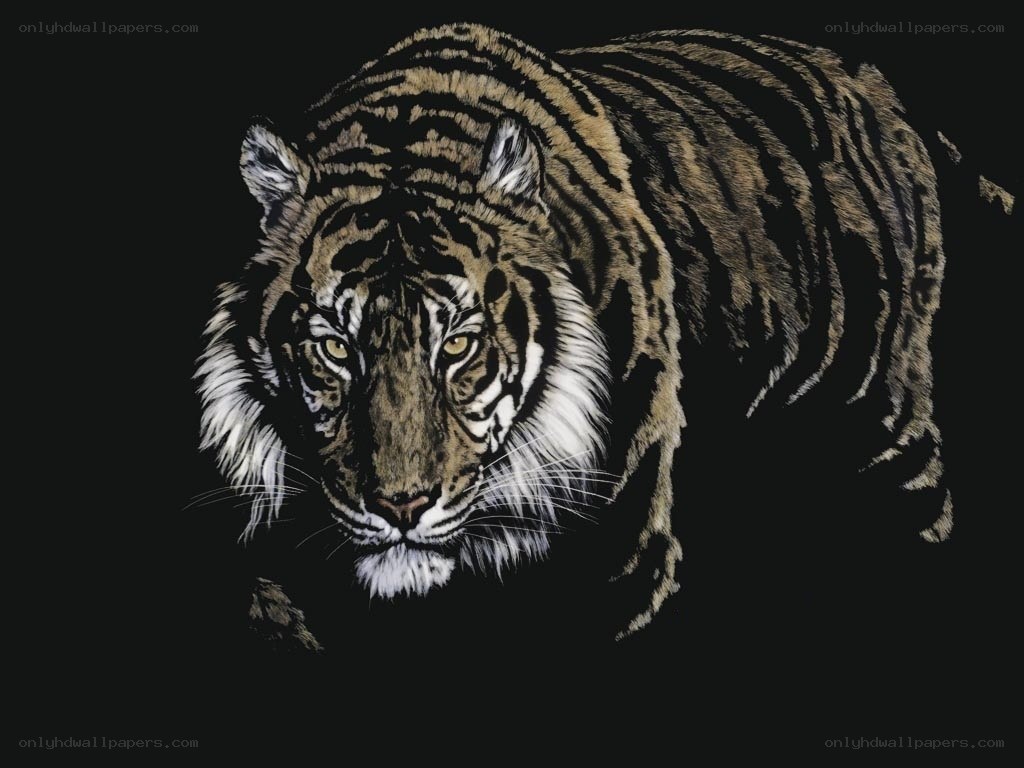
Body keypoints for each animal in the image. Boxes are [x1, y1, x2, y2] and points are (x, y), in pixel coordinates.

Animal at [195, 23, 981, 646]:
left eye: (458, 346)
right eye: (335, 348)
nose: (401, 508)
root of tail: (873, 81)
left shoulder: (618, 553)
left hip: (886, 428)